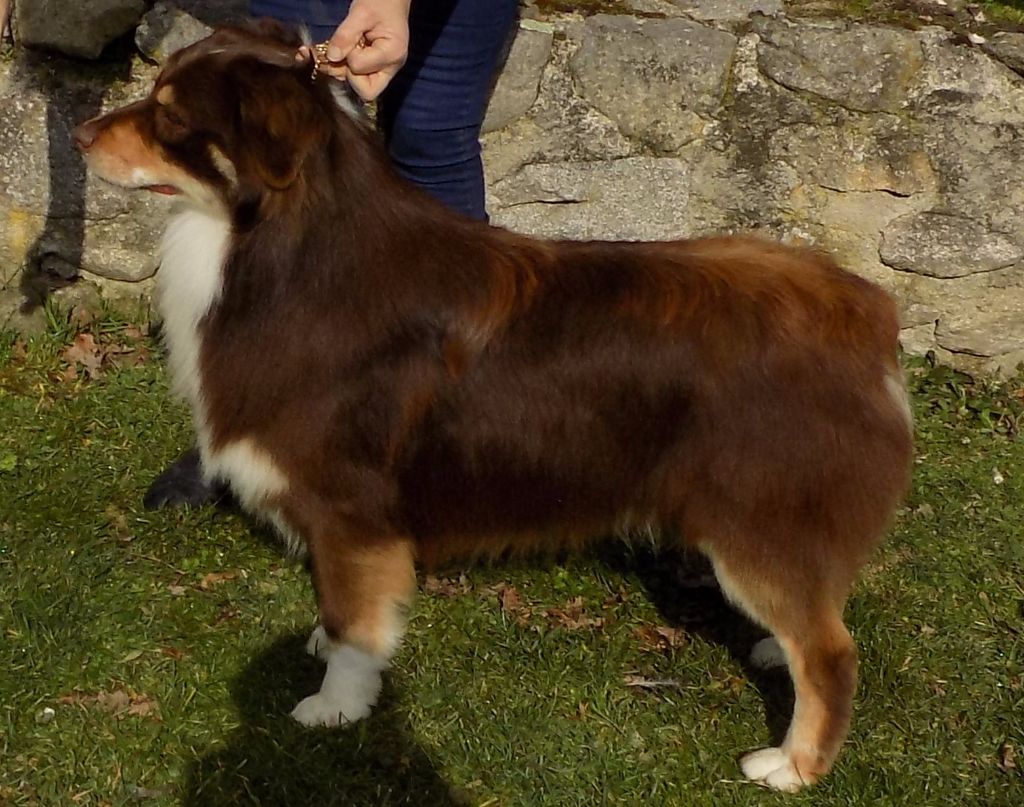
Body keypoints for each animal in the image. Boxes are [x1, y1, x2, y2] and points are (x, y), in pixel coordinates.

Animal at [74, 22, 913, 793]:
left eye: (172, 117)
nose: (80, 134)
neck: (285, 243)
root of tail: (865, 313)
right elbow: (340, 604)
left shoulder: (349, 503)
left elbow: (355, 619)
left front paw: (337, 705)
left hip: (759, 514)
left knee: (832, 653)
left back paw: (793, 764)